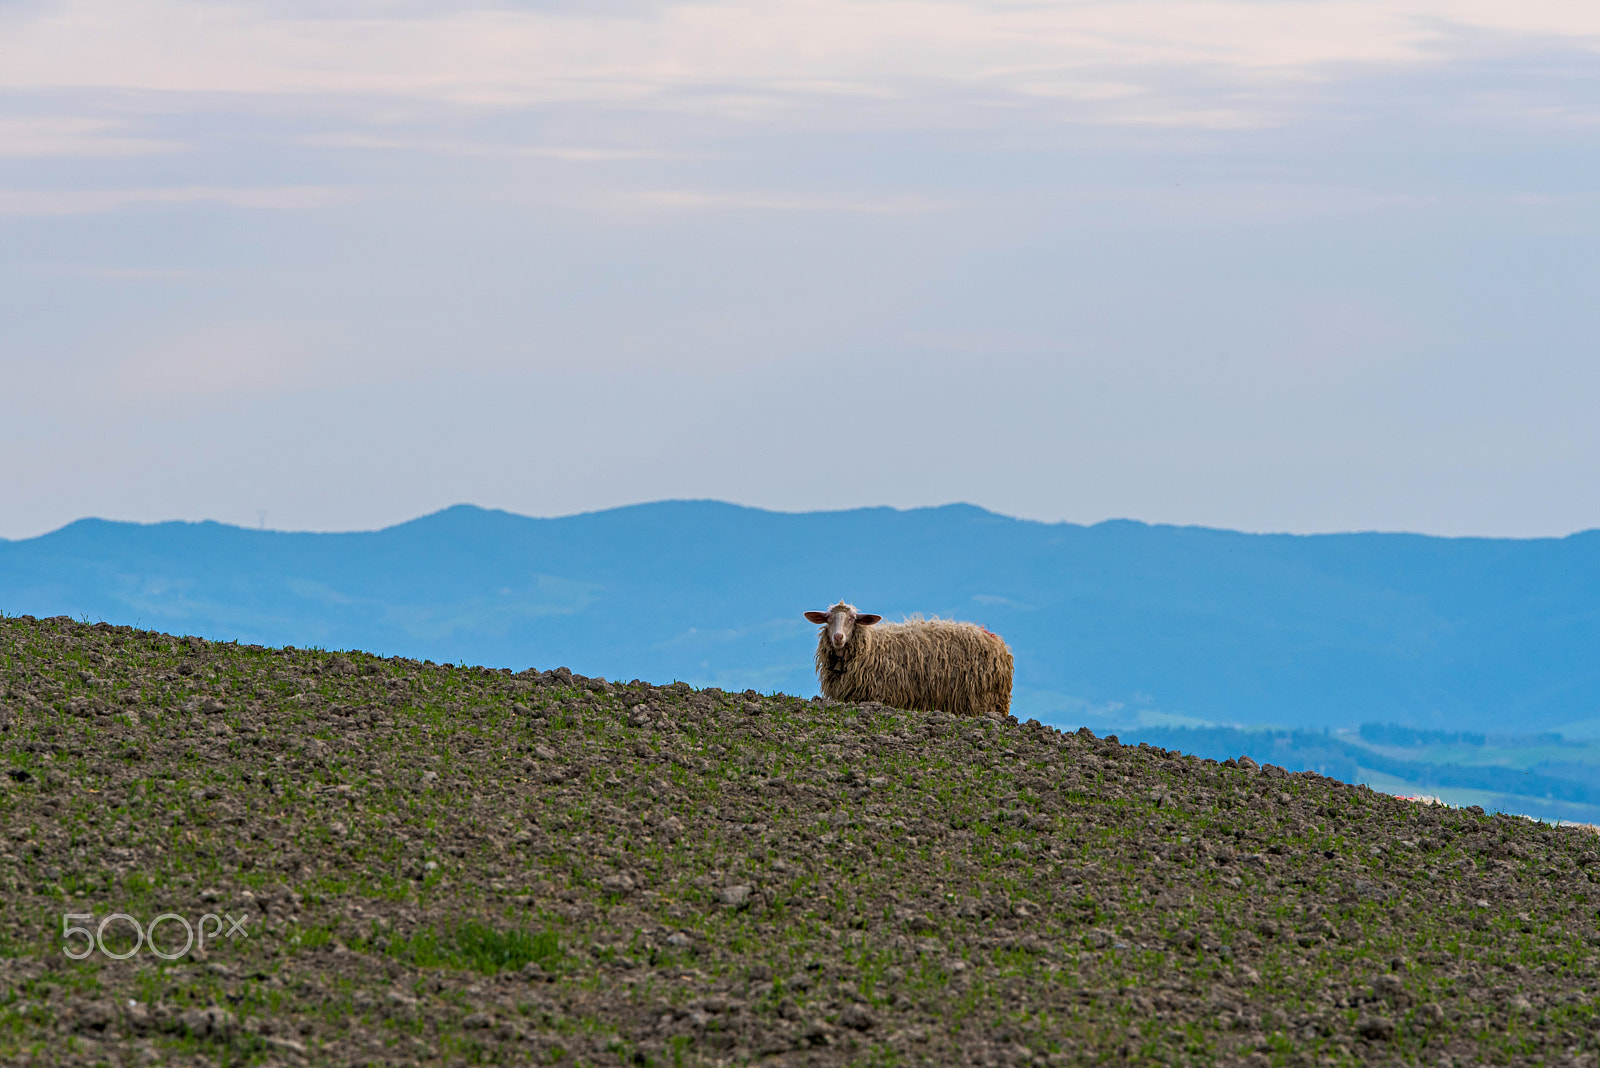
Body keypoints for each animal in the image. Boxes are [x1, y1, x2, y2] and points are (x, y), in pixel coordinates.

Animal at [800, 601, 1011, 716]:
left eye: (853, 618)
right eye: (828, 618)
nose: (838, 637)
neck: (871, 646)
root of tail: (994, 639)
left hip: (983, 701)